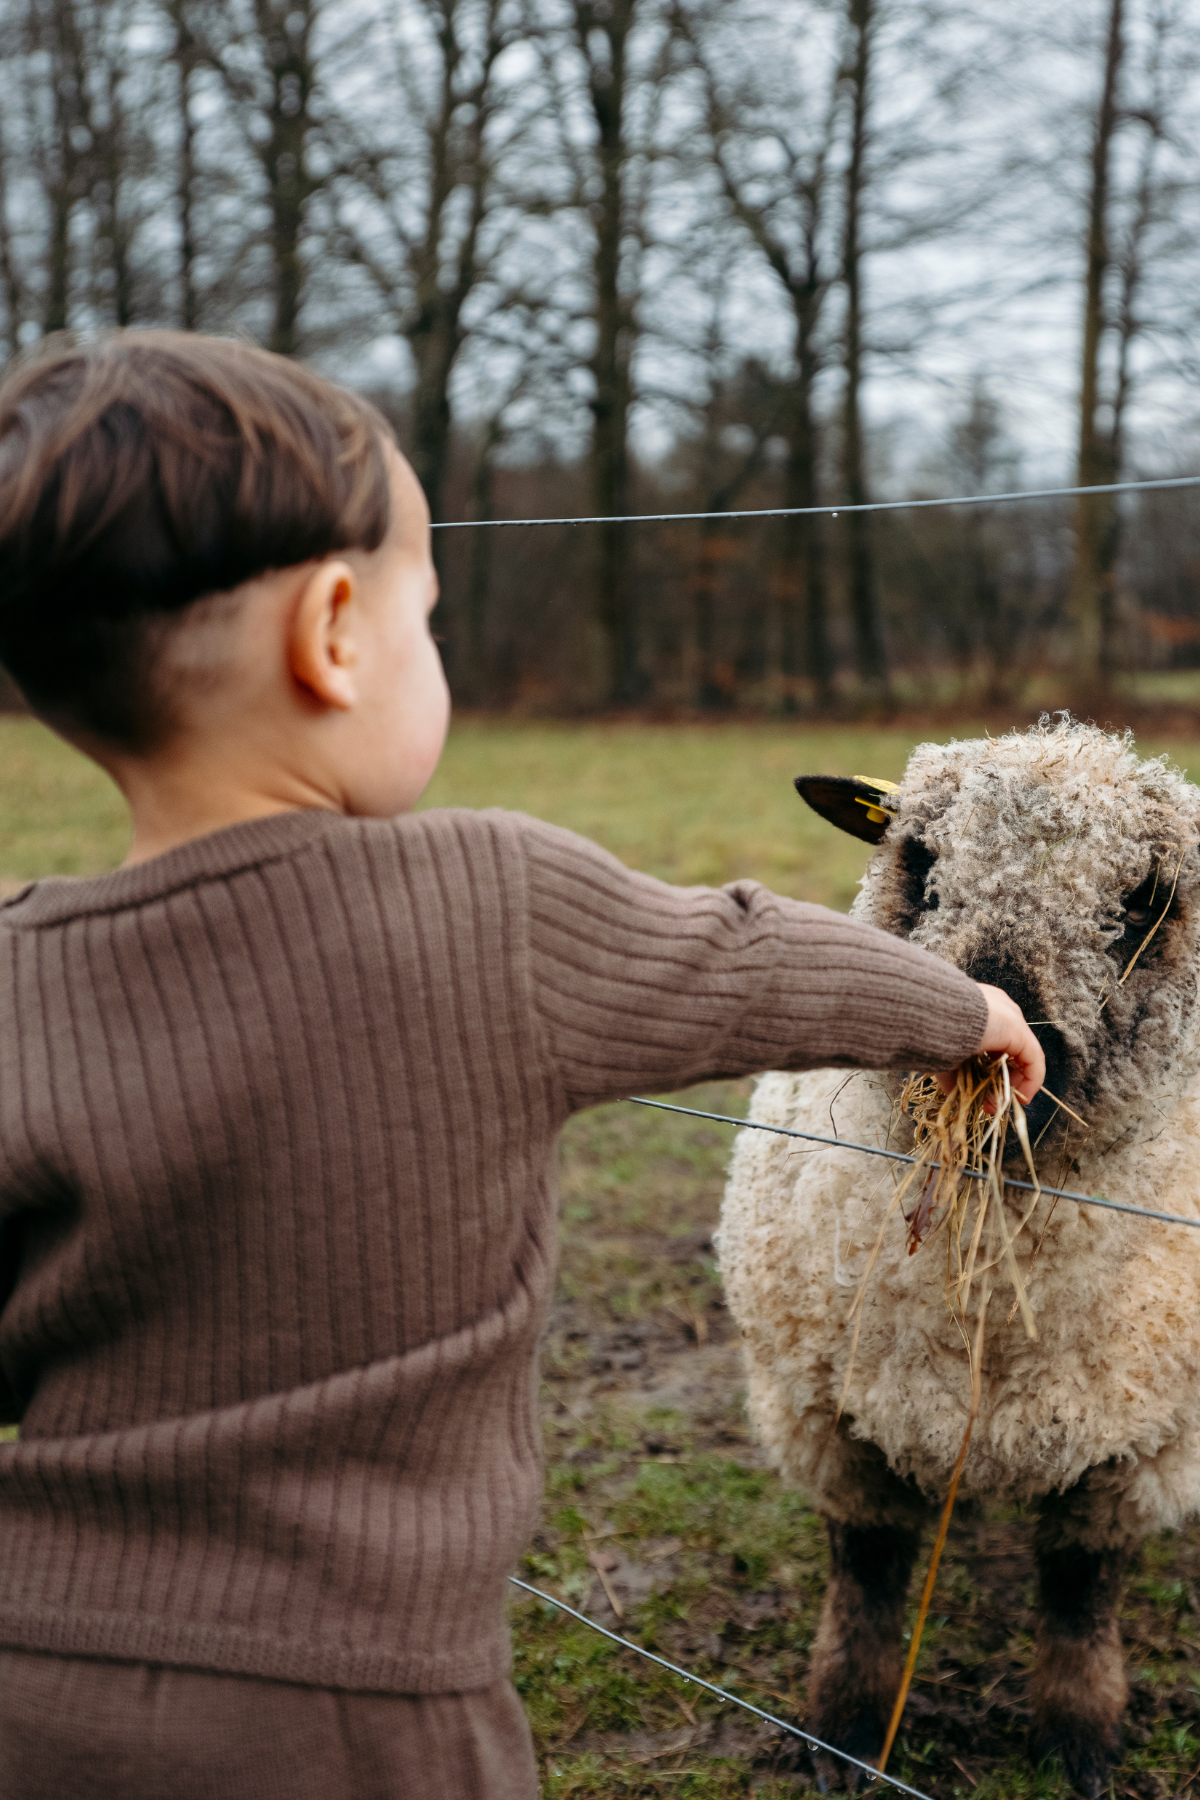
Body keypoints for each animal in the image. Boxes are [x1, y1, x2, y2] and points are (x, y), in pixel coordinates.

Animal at [719, 709, 1200, 1792]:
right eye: (921, 861)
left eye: (1144, 900)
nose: (985, 1039)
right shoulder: (829, 1419)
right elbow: (865, 1576)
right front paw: (846, 1729)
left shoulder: (1143, 1446)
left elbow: (1081, 1592)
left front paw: (1080, 1738)